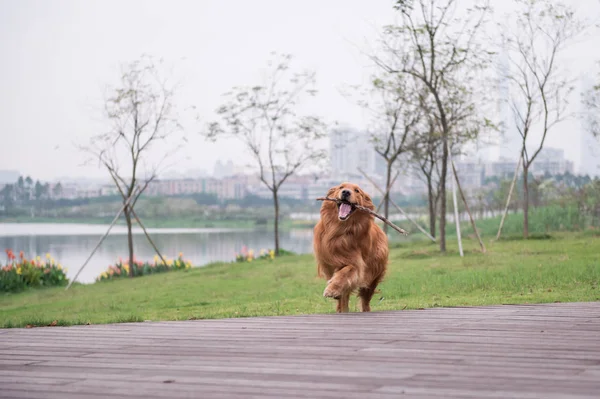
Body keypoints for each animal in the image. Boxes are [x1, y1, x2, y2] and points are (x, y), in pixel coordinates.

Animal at [312, 183, 392, 314]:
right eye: (340, 187)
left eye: (357, 191)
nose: (346, 192)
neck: (341, 230)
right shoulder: (329, 263)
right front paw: (335, 292)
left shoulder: (357, 264)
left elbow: (345, 272)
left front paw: (332, 289)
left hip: (373, 275)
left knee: (365, 299)